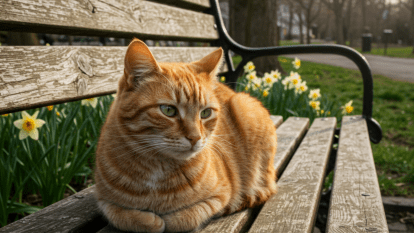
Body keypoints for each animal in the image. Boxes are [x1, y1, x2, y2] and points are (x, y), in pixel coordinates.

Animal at [94, 39, 278, 232]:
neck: (156, 169)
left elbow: (185, 218)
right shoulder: (104, 202)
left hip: (245, 107)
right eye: (168, 110)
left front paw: (167, 220)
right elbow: (124, 216)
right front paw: (151, 221)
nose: (195, 138)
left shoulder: (221, 194)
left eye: (205, 113)